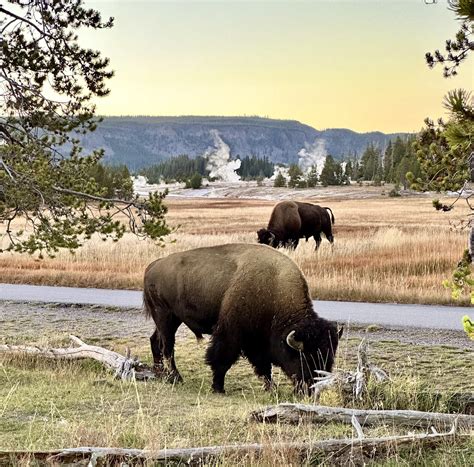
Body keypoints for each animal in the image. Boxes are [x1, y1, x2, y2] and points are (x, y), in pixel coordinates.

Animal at [143, 245, 342, 394]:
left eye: (329, 359)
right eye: (305, 358)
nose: (311, 390)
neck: (273, 289)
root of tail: (153, 265)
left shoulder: (258, 341)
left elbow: (263, 366)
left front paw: (271, 389)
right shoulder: (232, 334)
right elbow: (222, 359)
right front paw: (218, 388)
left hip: (170, 319)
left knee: (155, 341)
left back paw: (159, 374)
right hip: (166, 316)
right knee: (167, 347)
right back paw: (176, 378)